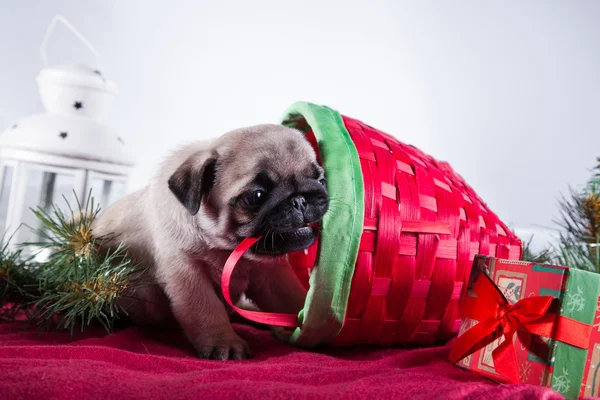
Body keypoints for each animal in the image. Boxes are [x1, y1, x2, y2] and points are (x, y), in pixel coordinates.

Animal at [92, 125, 328, 360]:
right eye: (256, 196)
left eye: (322, 181)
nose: (299, 199)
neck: (226, 250)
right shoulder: (189, 275)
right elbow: (207, 310)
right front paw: (224, 342)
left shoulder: (272, 275)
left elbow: (289, 299)